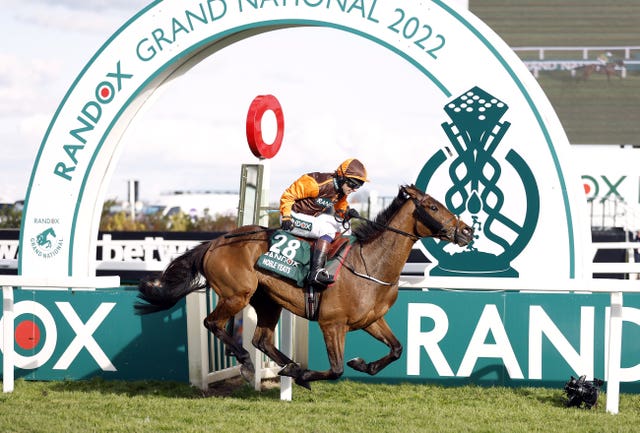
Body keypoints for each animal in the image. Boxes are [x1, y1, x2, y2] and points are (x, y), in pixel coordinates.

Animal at [136, 184, 476, 386]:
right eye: (433, 207)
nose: (467, 231)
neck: (370, 263)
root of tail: (215, 242)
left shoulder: (371, 319)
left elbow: (396, 349)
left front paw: (362, 364)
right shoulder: (332, 323)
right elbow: (337, 369)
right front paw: (311, 372)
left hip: (267, 301)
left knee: (261, 340)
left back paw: (291, 368)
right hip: (236, 294)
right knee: (213, 323)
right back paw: (250, 363)